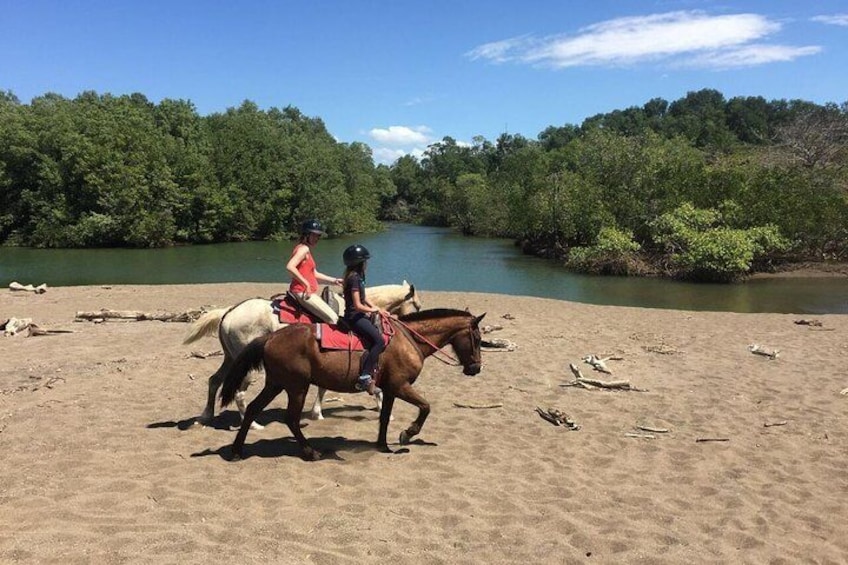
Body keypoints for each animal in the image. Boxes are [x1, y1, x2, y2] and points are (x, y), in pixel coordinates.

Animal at [182, 282, 420, 428]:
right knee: (238, 392)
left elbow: (324, 386)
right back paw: (253, 424)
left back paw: (205, 416)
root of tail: (229, 312)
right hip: (247, 367)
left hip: (231, 359)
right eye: (417, 305)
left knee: (214, 381)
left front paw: (317, 412)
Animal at [219, 308, 484, 458]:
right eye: (478, 337)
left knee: (253, 409)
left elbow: (384, 417)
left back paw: (236, 451)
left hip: (276, 385)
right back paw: (310, 452)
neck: (407, 340)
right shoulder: (401, 386)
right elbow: (426, 407)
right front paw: (407, 434)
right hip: (297, 388)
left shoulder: (390, 390)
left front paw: (383, 445)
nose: (476, 368)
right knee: (291, 419)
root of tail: (270, 337)